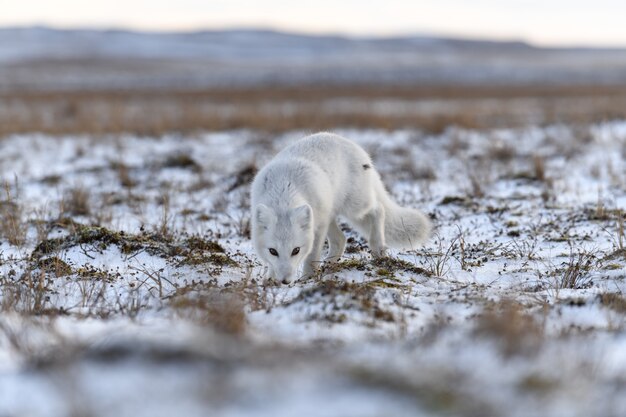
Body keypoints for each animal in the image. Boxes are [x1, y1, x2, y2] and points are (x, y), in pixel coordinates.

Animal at [249, 132, 428, 282]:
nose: (285, 281)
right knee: (341, 240)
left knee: (378, 210)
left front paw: (307, 277)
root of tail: (354, 146)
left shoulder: (318, 227)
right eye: (273, 251)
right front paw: (270, 279)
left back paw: (377, 249)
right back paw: (328, 265)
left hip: (354, 208)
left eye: (296, 250)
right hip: (330, 214)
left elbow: (312, 255)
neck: (284, 191)